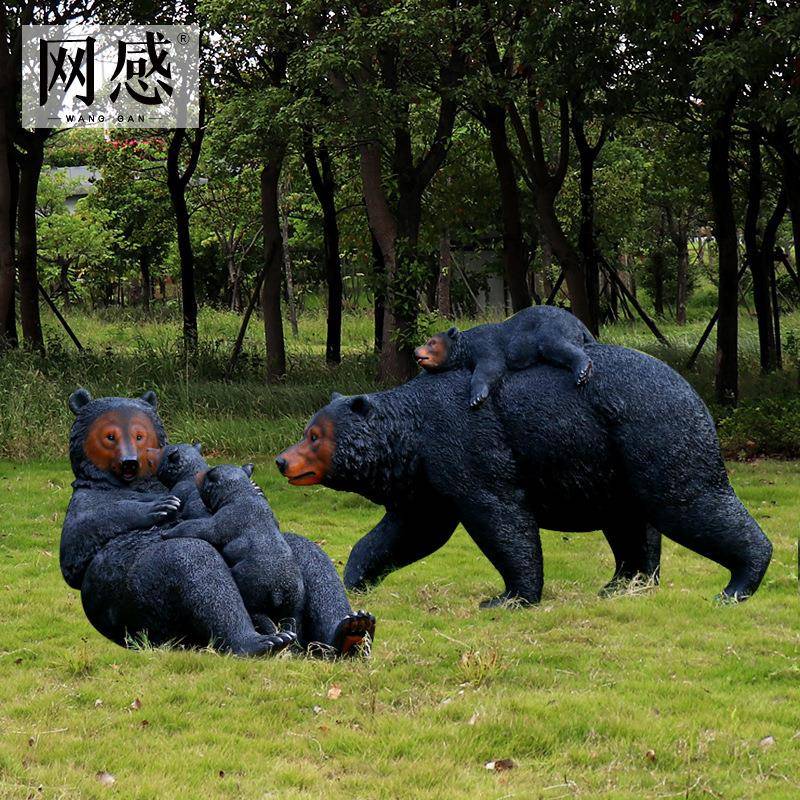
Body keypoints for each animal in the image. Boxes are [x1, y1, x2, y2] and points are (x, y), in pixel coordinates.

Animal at [60, 388, 374, 657]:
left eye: (139, 435)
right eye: (109, 436)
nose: (131, 461)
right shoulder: (88, 499)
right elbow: (79, 545)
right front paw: (158, 508)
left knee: (310, 557)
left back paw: (349, 629)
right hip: (130, 596)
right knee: (191, 562)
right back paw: (266, 639)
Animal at [276, 344, 773, 606]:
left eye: (315, 436)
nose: (282, 460)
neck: (412, 434)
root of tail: (696, 394)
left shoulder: (466, 444)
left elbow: (499, 514)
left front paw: (508, 596)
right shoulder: (426, 480)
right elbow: (410, 530)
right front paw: (355, 578)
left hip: (654, 434)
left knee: (687, 499)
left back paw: (739, 582)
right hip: (612, 464)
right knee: (630, 521)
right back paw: (620, 584)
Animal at [414, 305, 595, 408]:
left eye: (431, 342)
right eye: (426, 341)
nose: (415, 351)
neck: (467, 346)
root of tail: (577, 321)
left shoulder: (486, 345)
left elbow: (491, 367)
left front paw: (476, 398)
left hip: (552, 325)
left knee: (554, 344)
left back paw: (582, 371)